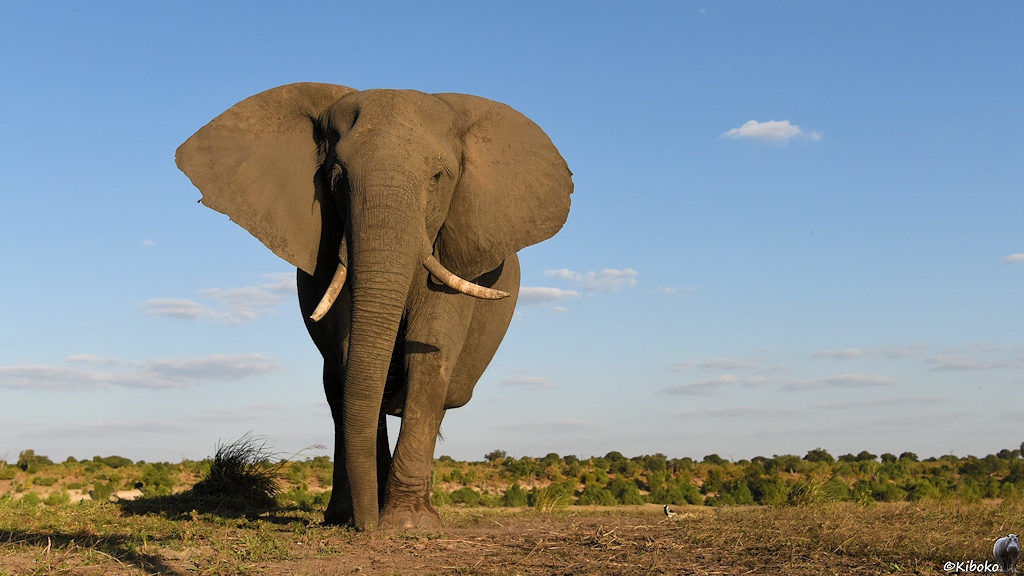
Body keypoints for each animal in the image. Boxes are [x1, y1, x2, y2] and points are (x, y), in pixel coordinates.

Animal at [175, 83, 573, 530]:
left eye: (438, 177)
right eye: (337, 179)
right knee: (336, 389)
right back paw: (342, 514)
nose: (368, 527)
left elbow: (429, 355)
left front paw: (409, 525)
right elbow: (352, 357)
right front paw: (374, 519)